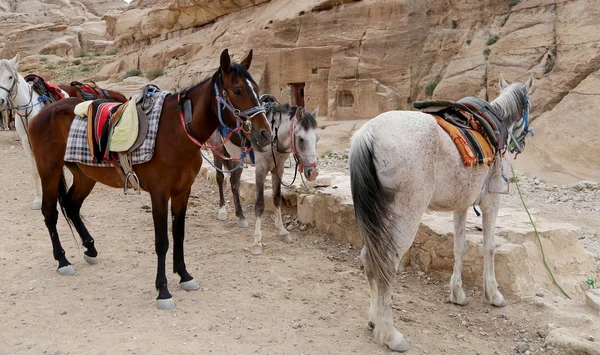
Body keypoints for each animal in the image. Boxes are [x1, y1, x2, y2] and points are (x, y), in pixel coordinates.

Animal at [0, 54, 68, 210]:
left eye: (10, 77)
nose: (0, 101)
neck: (27, 109)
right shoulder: (26, 142)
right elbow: (34, 170)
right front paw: (38, 200)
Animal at [28, 48, 272, 310]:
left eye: (257, 89)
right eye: (237, 90)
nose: (265, 134)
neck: (177, 132)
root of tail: (42, 113)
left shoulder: (182, 192)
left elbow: (179, 235)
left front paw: (184, 275)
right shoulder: (159, 194)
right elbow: (162, 241)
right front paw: (163, 290)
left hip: (85, 175)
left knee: (72, 206)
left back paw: (90, 248)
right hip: (49, 171)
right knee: (50, 212)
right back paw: (63, 260)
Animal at [207, 95, 318, 256]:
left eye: (317, 138)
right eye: (301, 138)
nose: (313, 172)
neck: (274, 137)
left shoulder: (278, 169)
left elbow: (277, 199)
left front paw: (282, 231)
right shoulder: (260, 169)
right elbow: (259, 204)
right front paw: (257, 242)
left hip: (237, 158)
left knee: (234, 183)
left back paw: (241, 216)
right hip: (218, 151)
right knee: (220, 179)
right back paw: (222, 211)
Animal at [350, 75, 536, 354]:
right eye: (528, 107)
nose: (522, 143)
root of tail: (368, 134)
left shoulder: (461, 205)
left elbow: (460, 246)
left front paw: (457, 293)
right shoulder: (492, 201)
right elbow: (489, 246)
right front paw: (493, 294)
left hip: (378, 213)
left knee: (369, 258)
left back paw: (375, 320)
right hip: (407, 213)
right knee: (388, 263)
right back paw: (390, 334)